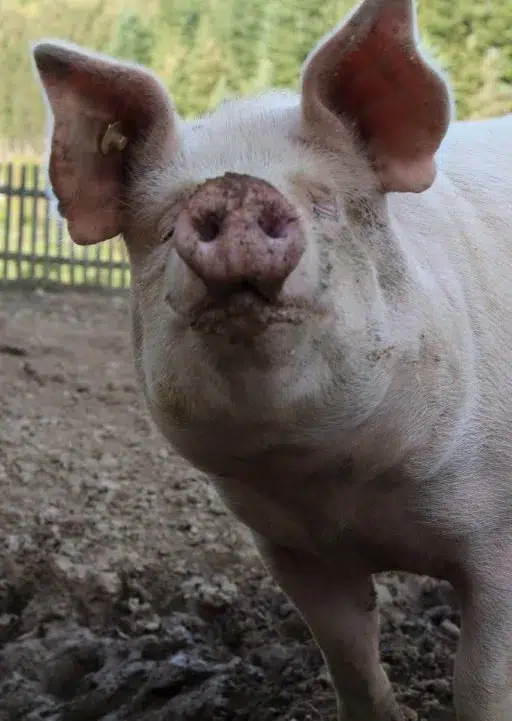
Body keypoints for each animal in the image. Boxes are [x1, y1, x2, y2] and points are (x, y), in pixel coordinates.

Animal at [31, 0, 512, 718]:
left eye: (325, 203)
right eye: (165, 226)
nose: (234, 189)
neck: (342, 488)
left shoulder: (498, 537)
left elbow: (480, 680)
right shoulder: (290, 548)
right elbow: (347, 654)